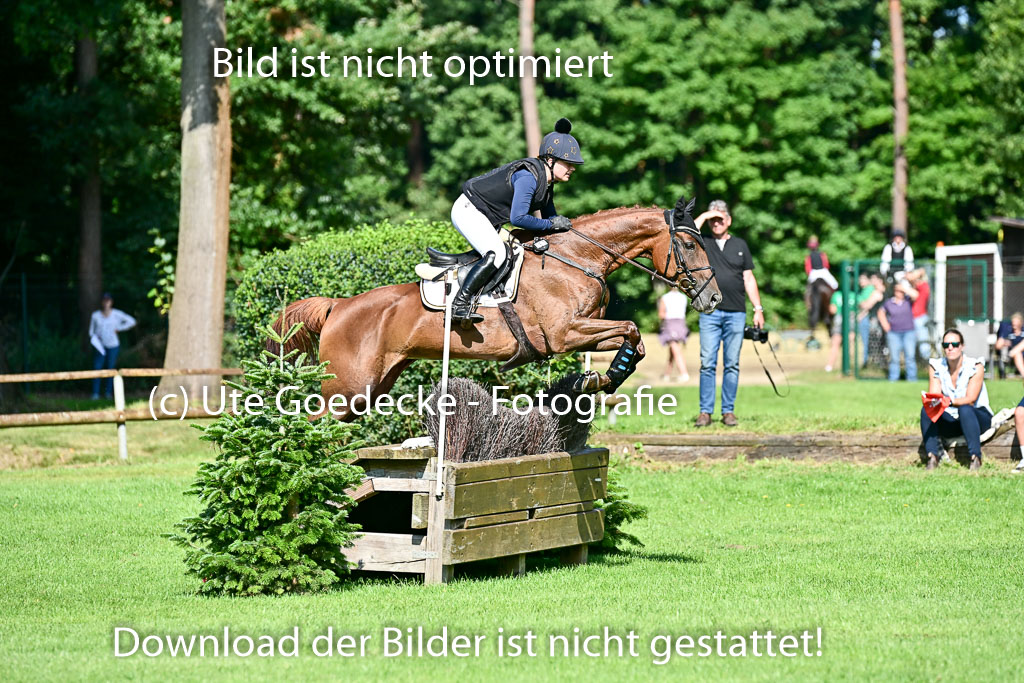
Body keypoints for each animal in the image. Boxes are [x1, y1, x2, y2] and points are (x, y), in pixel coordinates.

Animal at [275, 195, 722, 420]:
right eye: (689, 244)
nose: (714, 298)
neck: (577, 258)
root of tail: (338, 305)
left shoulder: (585, 332)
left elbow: (634, 340)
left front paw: (599, 380)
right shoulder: (564, 335)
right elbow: (630, 327)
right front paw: (599, 380)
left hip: (370, 389)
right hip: (347, 391)